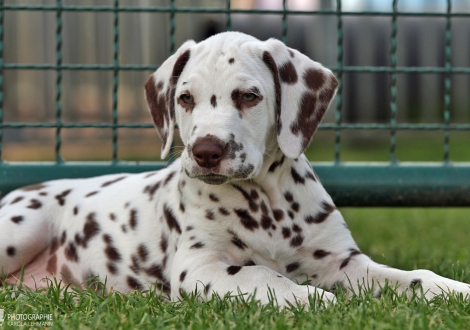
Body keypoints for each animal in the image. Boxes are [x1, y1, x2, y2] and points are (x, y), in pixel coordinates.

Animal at [0, 32, 470, 308]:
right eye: (185, 98)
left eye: (248, 96)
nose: (206, 151)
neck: (267, 204)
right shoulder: (199, 268)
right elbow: (264, 275)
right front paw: (314, 300)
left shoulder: (343, 263)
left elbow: (413, 277)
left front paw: (453, 291)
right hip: (20, 228)